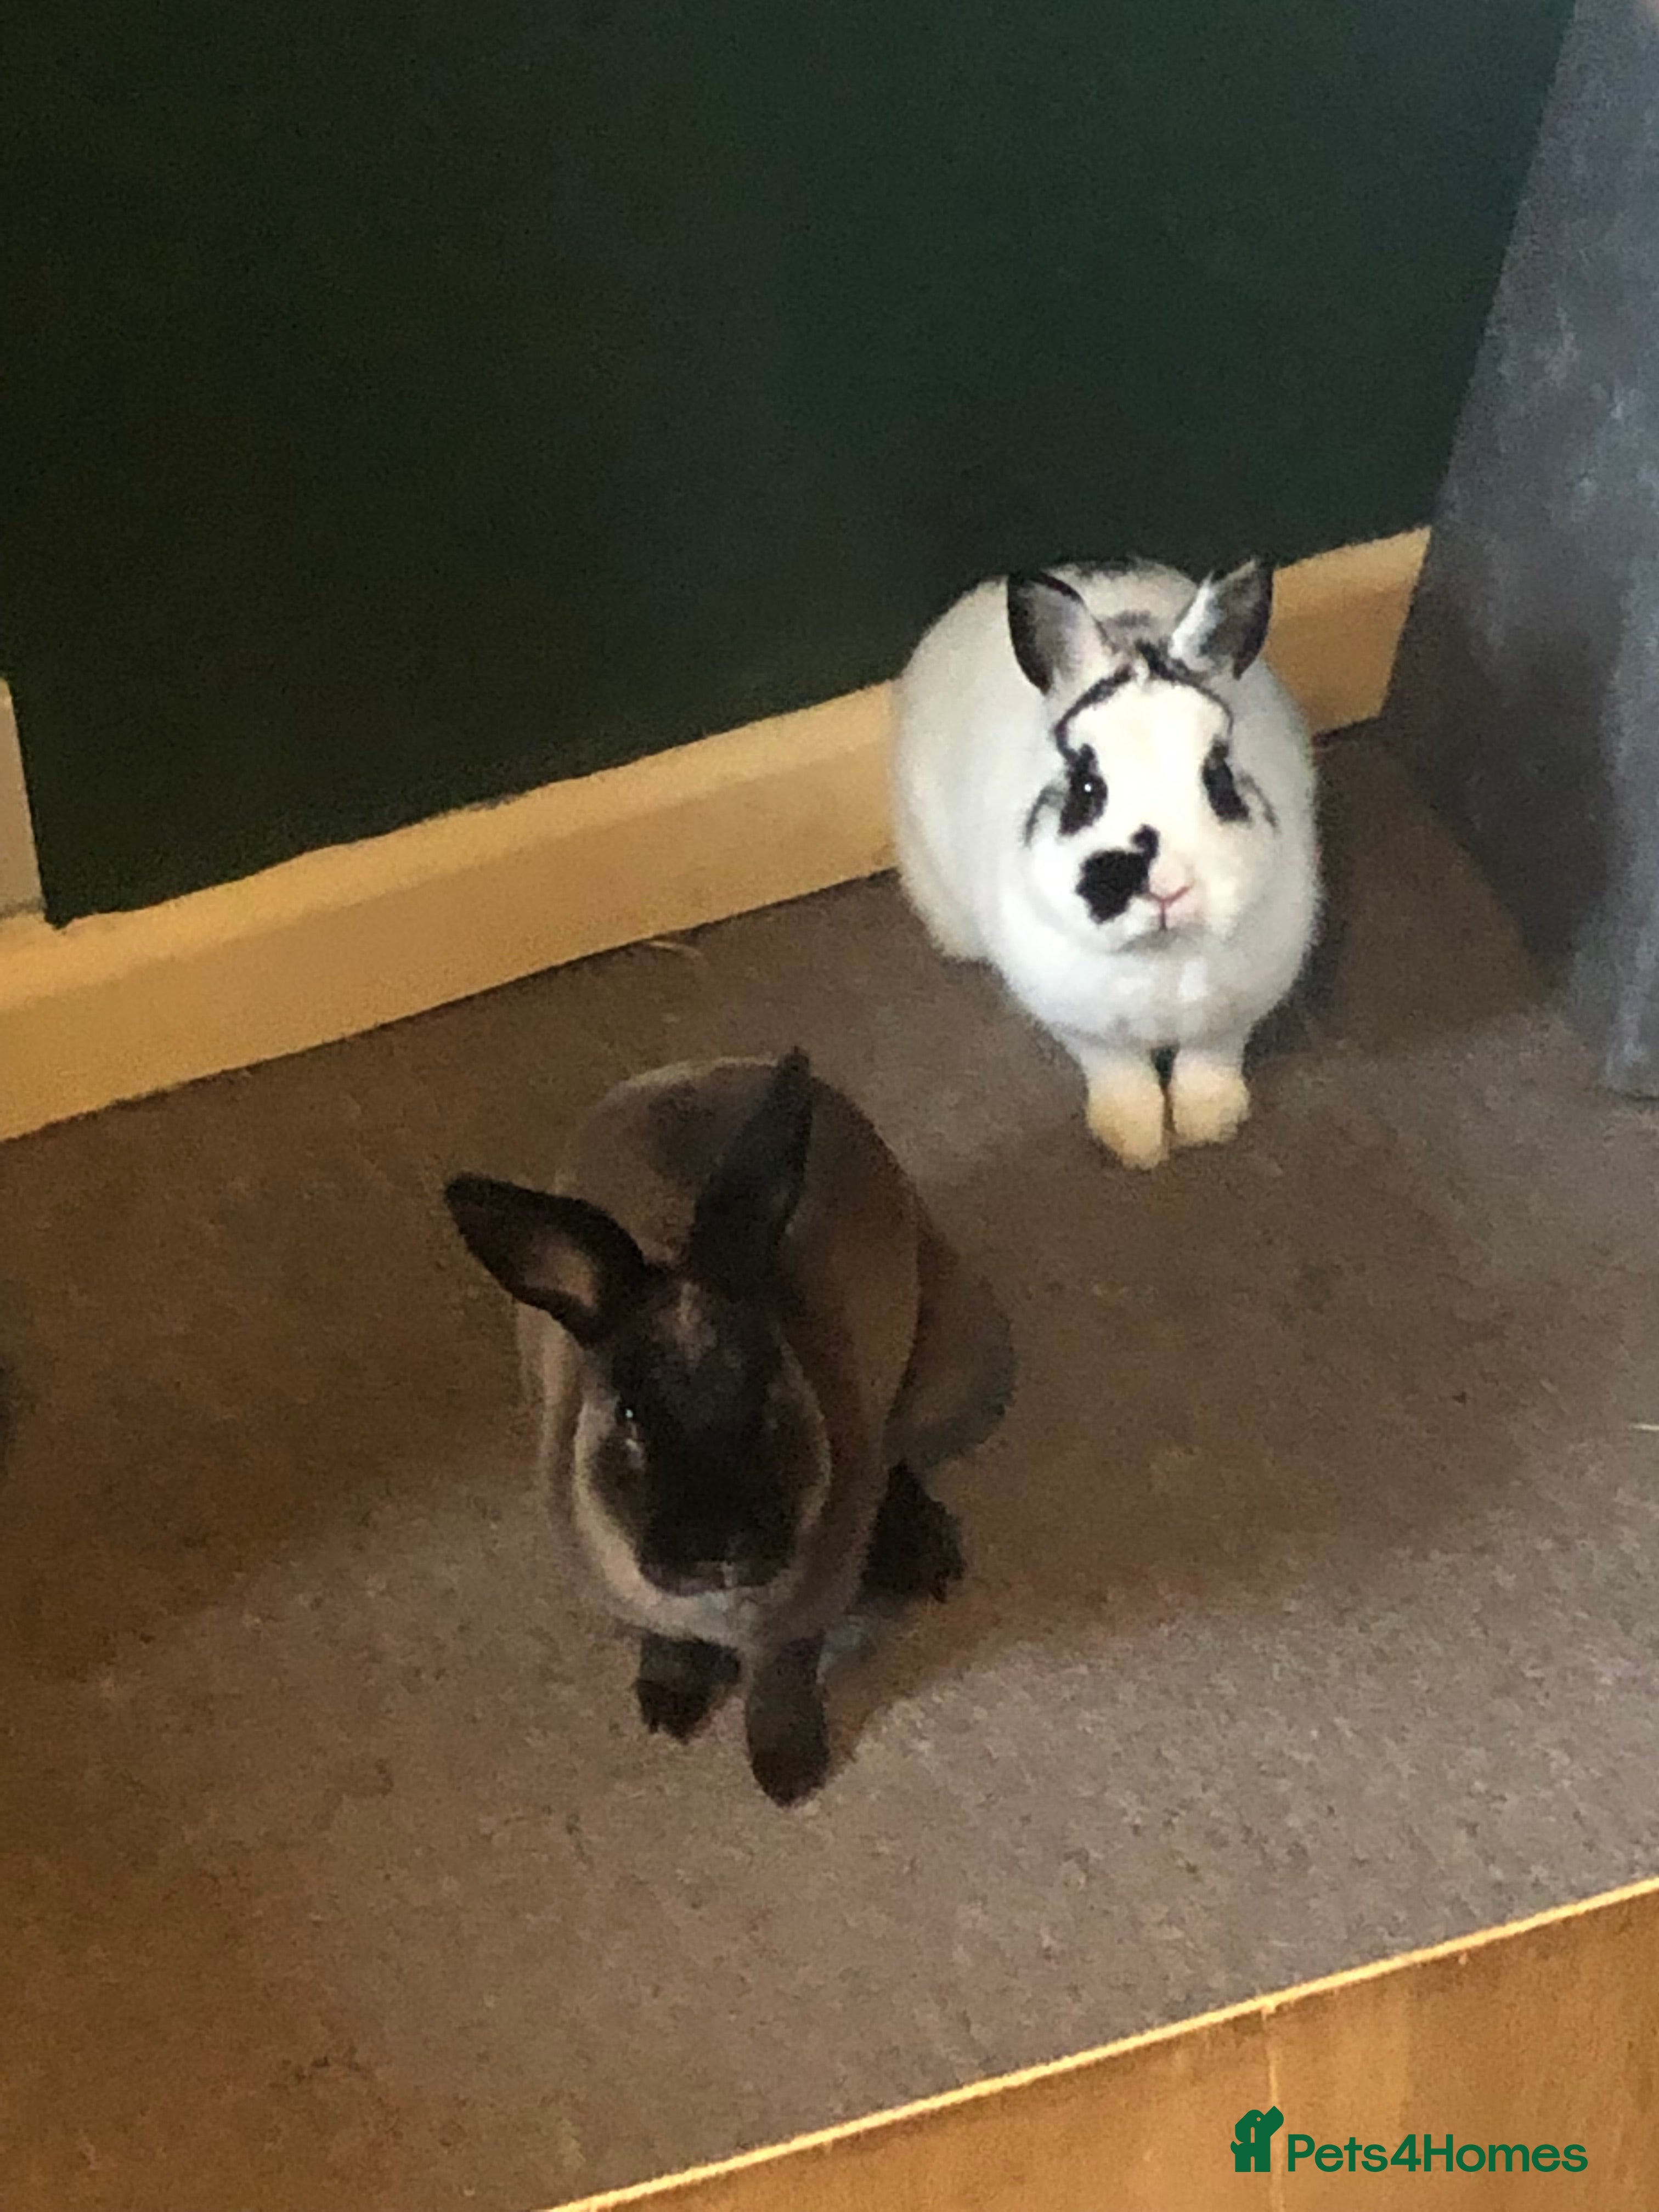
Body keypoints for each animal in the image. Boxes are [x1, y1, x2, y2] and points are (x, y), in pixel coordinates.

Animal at [444, 1049, 1010, 1805]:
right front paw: (669, 1707)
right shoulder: (643, 1612)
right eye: (629, 1415)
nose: (717, 1544)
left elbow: (780, 1683)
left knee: (901, 1456)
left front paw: (787, 1773)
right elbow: (668, 1646)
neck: (717, 1606)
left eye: (769, 1392)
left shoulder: (801, 1619)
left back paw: (922, 1554)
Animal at [891, 556, 1319, 1169]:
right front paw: (1135, 1145)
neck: (1161, 954)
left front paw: (1209, 1125)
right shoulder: (1083, 1026)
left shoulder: (1233, 1016)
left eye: (1217, 777)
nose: (1167, 888)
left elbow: (1208, 1061)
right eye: (1088, 788)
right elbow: (1118, 1073)